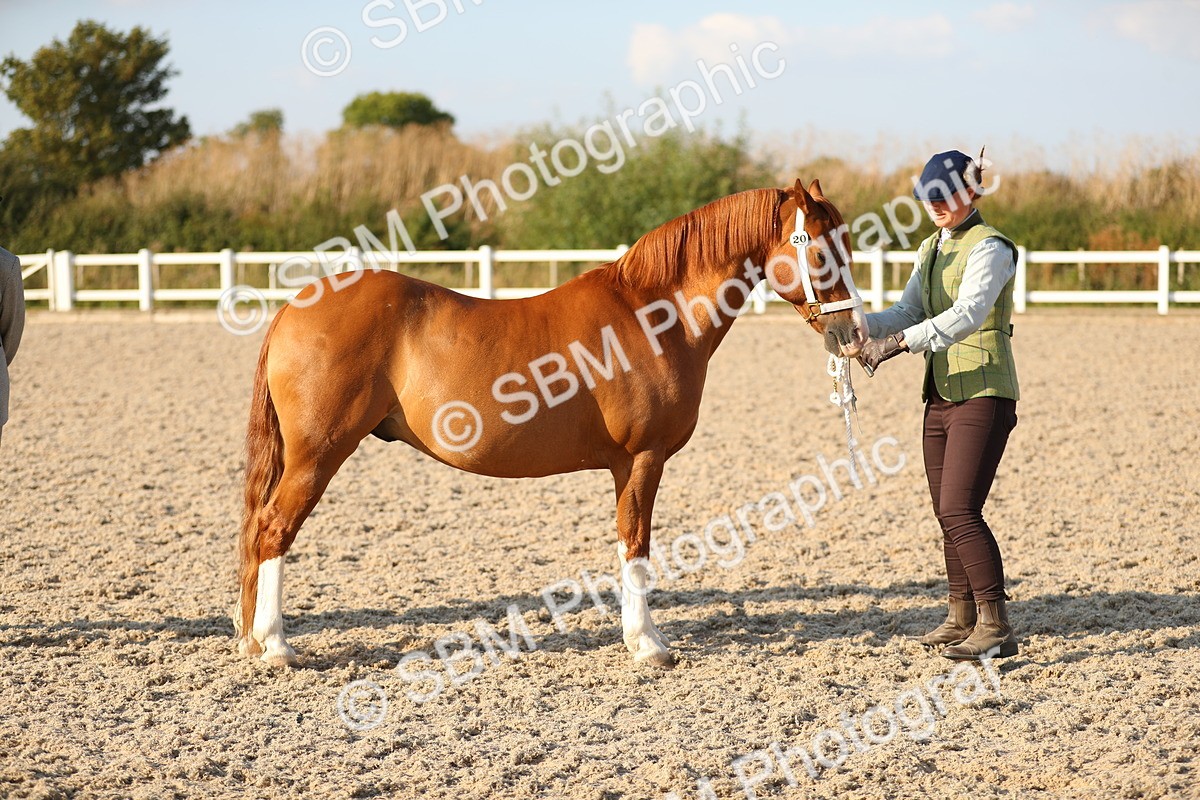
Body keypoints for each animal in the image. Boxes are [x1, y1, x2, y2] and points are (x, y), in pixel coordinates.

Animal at [234, 179, 868, 668]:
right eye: (820, 253)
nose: (854, 335)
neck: (653, 312)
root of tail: (294, 307)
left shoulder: (625, 466)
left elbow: (627, 544)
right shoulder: (644, 458)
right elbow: (637, 543)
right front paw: (648, 645)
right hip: (318, 455)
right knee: (273, 532)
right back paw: (277, 647)